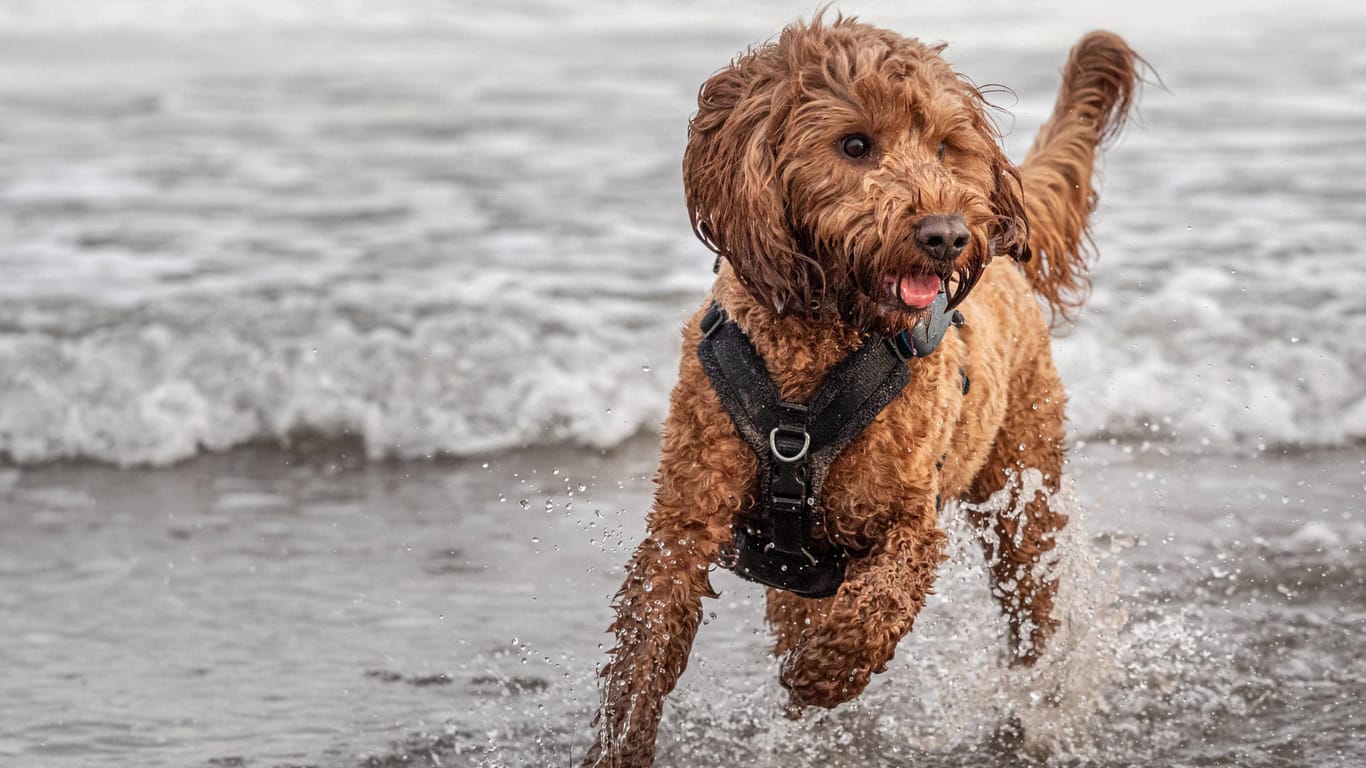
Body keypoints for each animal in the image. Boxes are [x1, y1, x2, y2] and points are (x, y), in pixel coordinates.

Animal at [587, 14, 1141, 759]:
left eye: (944, 146)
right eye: (854, 145)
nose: (946, 234)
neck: (813, 351)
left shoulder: (908, 524)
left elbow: (878, 608)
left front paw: (823, 672)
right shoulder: (686, 521)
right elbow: (644, 648)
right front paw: (619, 742)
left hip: (1023, 490)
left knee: (1032, 601)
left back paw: (1032, 704)